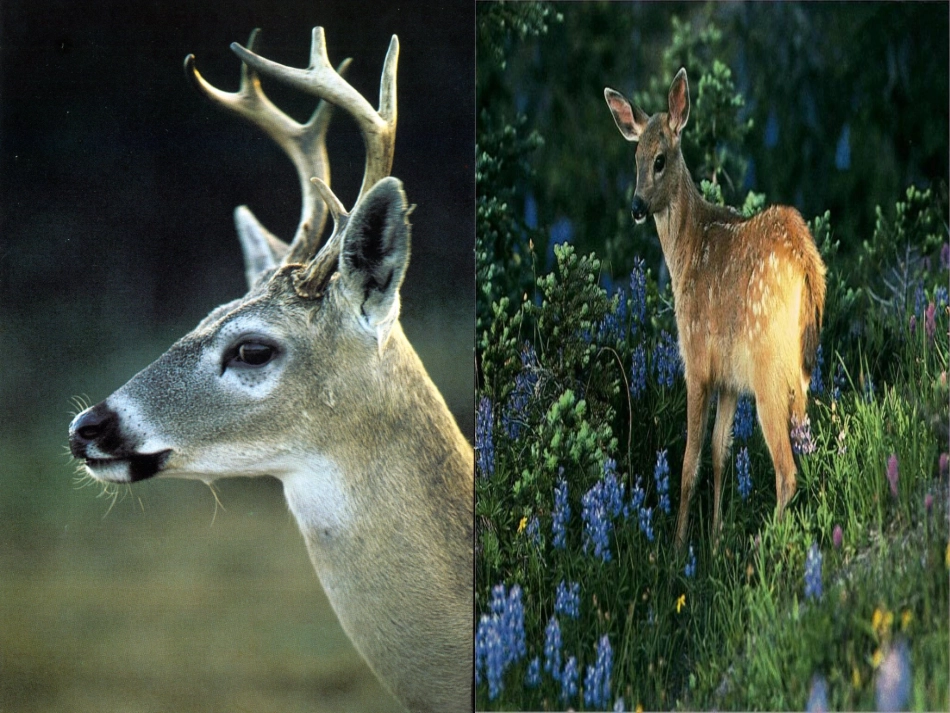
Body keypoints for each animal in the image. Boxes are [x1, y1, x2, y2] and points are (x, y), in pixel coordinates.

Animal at [604, 68, 826, 551]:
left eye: (660, 159)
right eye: (635, 158)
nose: (636, 206)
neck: (688, 252)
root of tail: (804, 258)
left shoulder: (697, 360)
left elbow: (690, 462)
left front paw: (677, 547)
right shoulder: (729, 380)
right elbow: (720, 453)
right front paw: (715, 537)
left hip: (767, 365)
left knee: (786, 470)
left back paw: (765, 543)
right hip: (798, 365)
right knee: (806, 445)